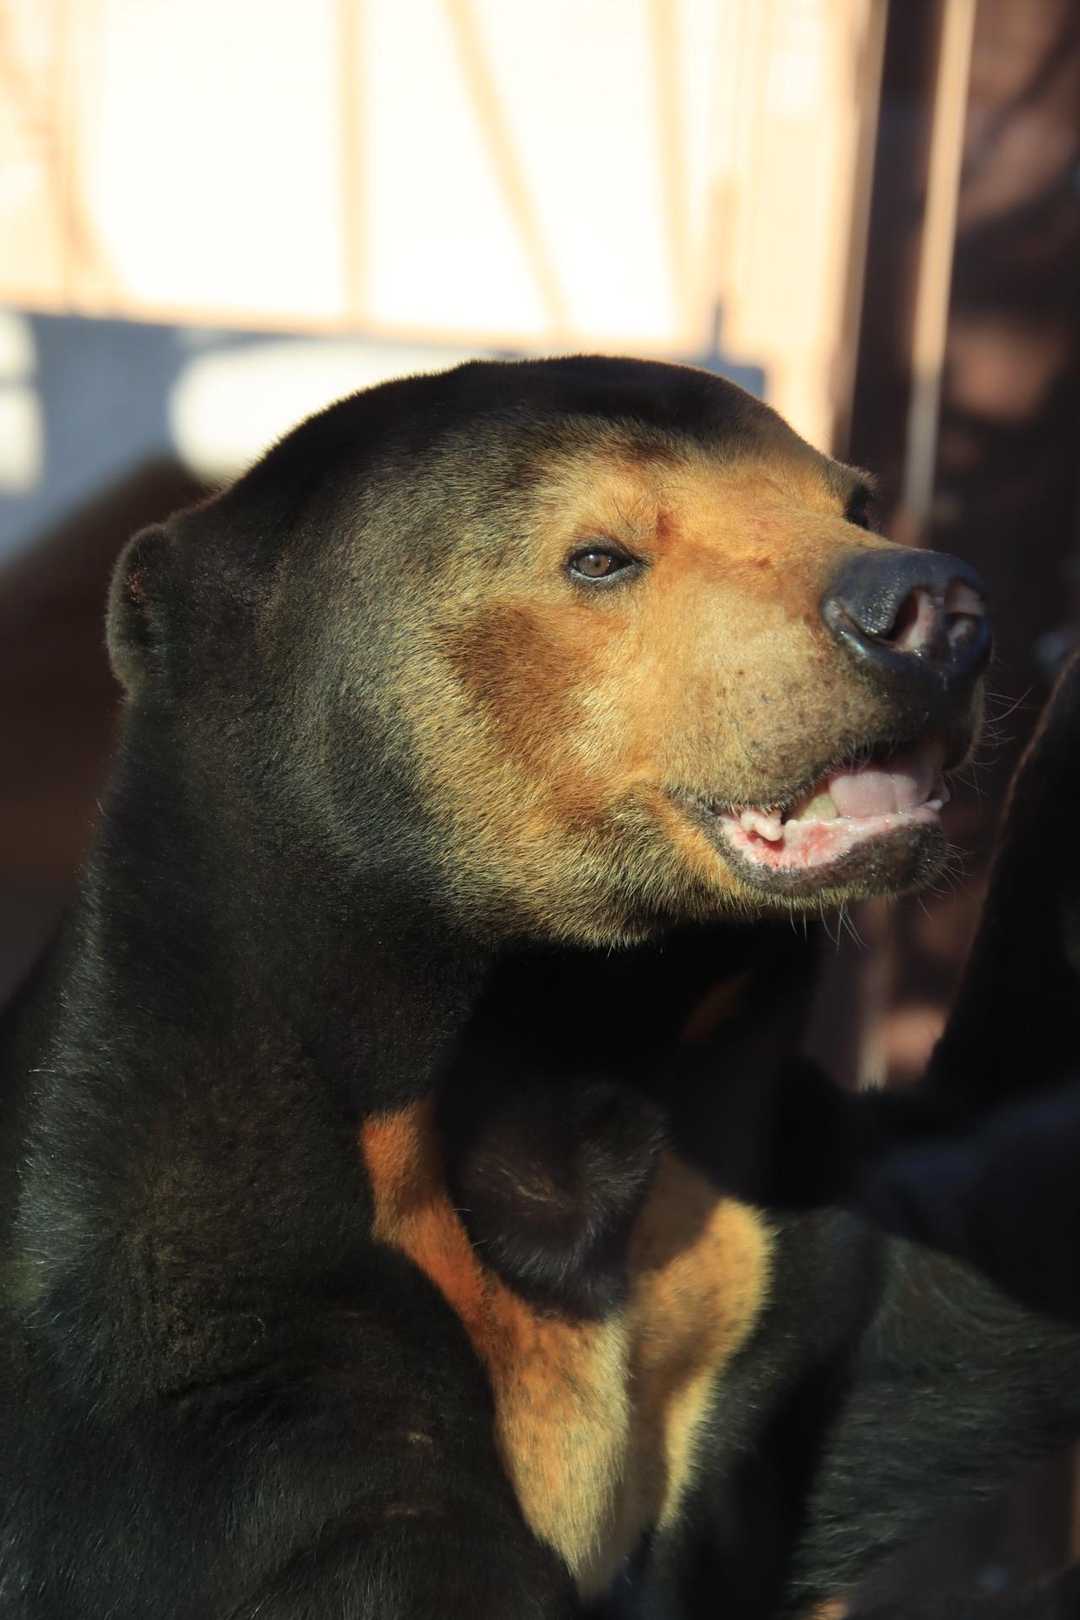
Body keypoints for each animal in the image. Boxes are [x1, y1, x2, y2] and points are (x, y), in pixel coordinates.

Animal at [2, 354, 1079, 1620]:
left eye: (855, 504)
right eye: (599, 556)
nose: (927, 609)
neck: (567, 1037)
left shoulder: (752, 1252)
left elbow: (988, 1228)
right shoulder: (200, 1344)